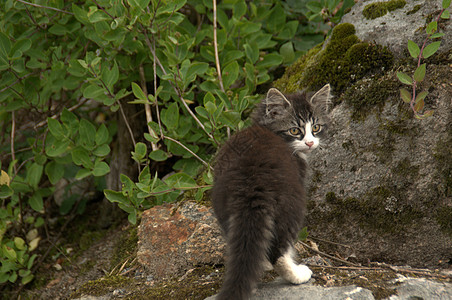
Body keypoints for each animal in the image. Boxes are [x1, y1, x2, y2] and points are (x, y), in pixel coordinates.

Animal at [210, 84, 330, 300]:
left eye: (316, 128)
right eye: (294, 130)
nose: (310, 143)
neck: (267, 129)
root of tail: (252, 184)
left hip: (222, 203)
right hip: (292, 205)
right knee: (279, 250)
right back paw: (297, 275)